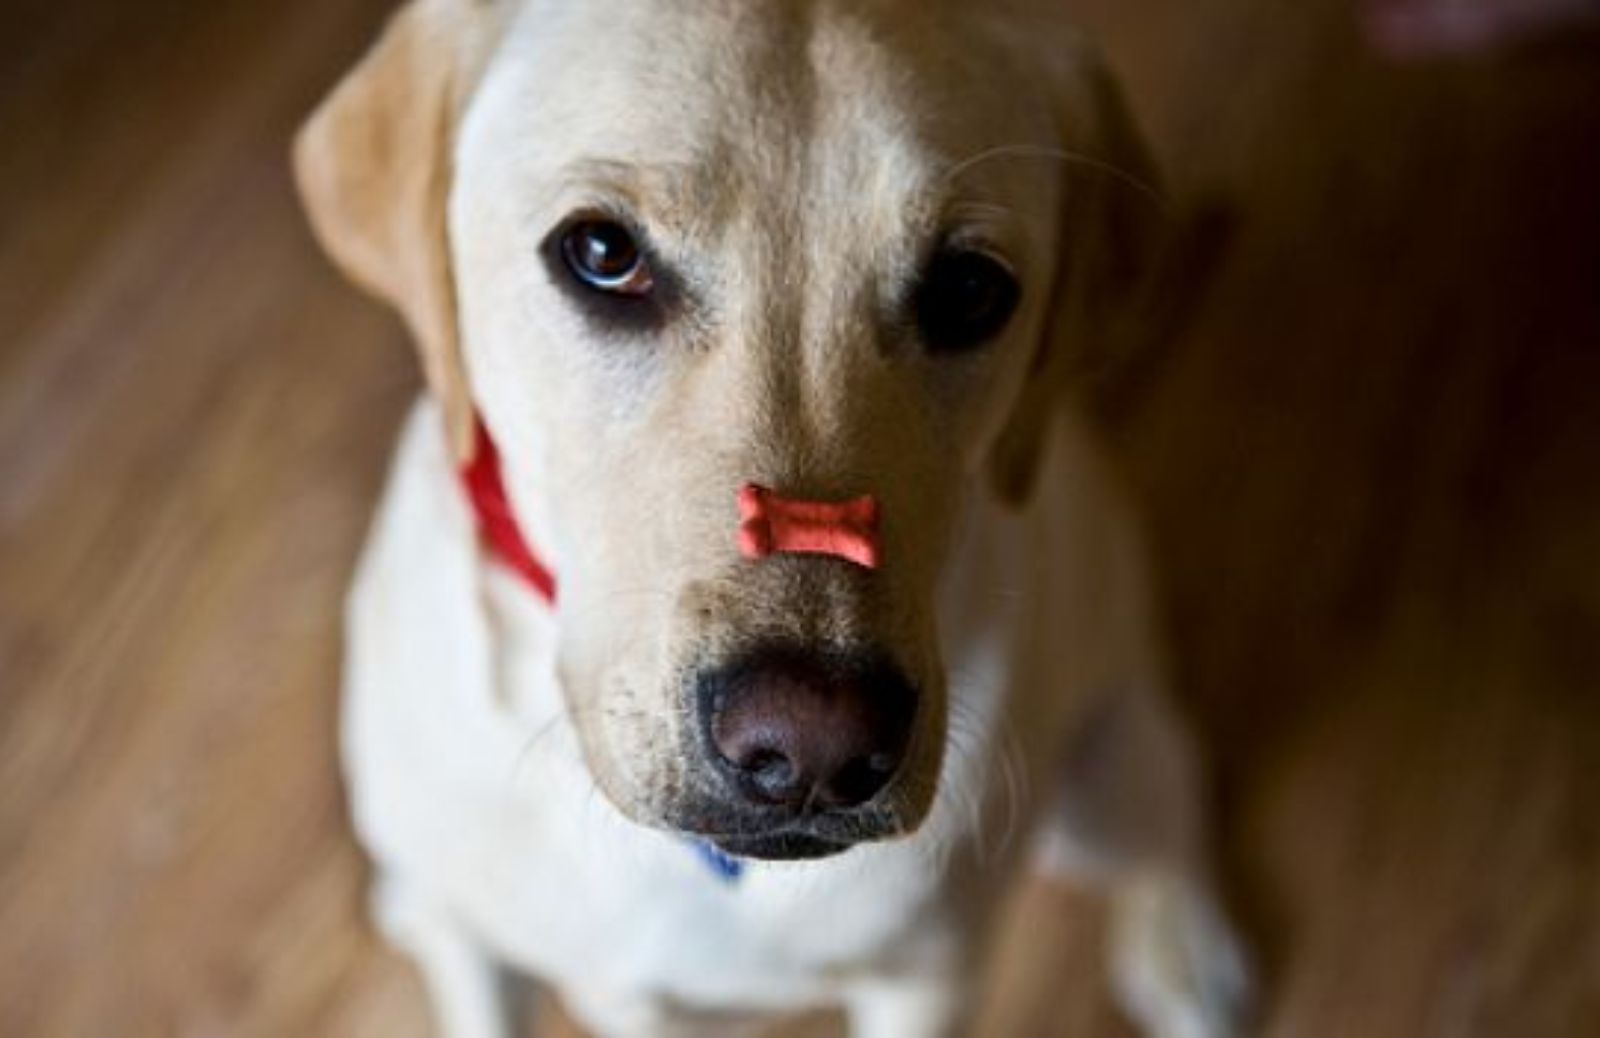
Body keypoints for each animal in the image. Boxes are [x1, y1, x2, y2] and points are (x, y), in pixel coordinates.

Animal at [297, 2, 1248, 1036]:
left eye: (969, 291)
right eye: (603, 255)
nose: (812, 746)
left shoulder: (927, 982)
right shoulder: (483, 938)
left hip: (1102, 776)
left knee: (1172, 804)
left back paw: (1187, 950)